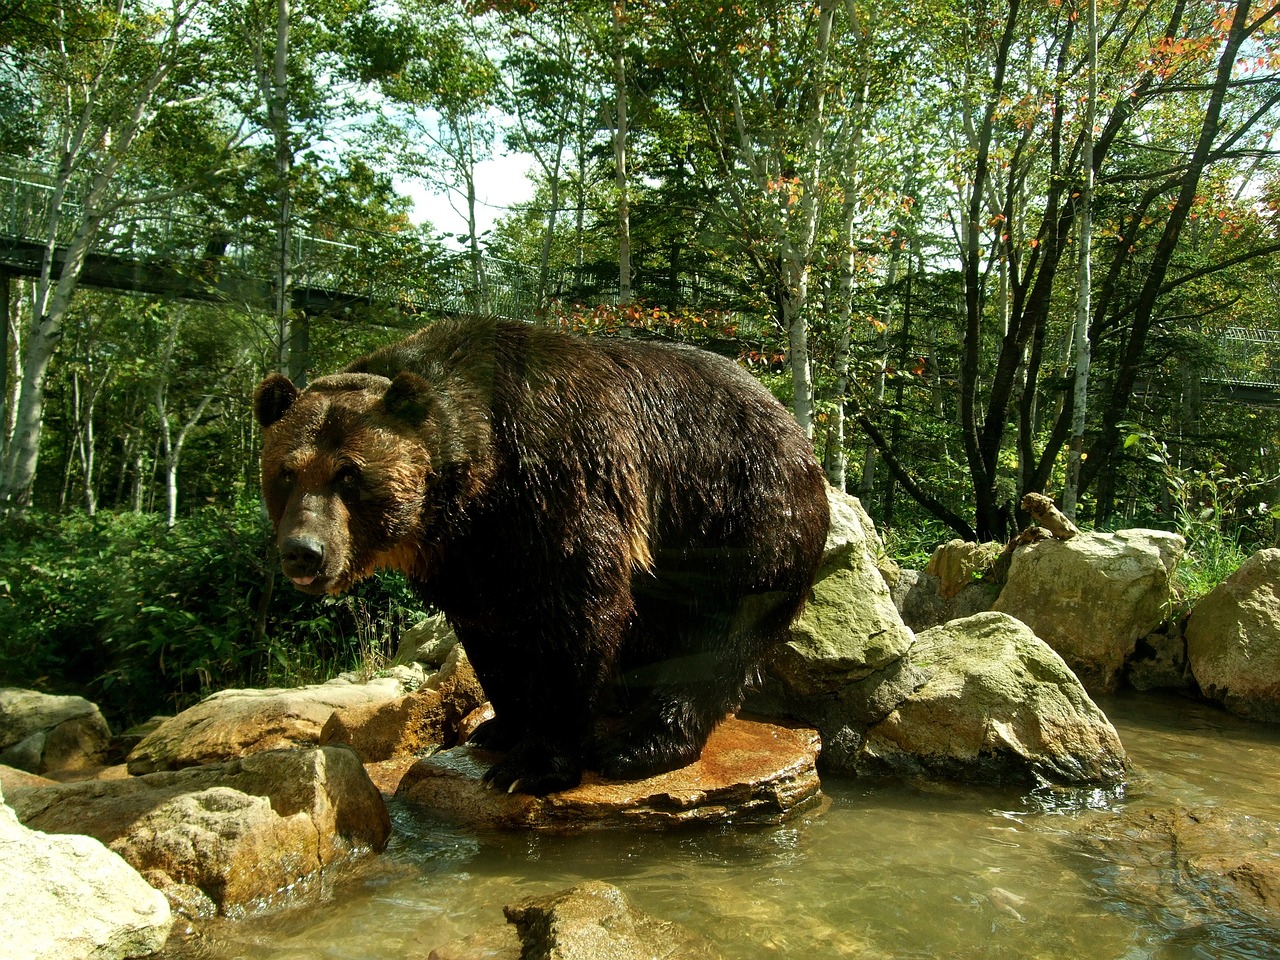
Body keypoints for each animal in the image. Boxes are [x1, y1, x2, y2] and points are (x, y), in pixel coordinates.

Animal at [254, 317, 829, 798]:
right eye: (286, 471)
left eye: (348, 473)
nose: (303, 552)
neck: (479, 479)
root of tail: (794, 426)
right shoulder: (467, 552)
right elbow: (489, 631)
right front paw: (500, 728)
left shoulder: (557, 482)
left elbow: (576, 612)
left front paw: (531, 765)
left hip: (741, 513)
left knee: (722, 631)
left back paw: (640, 745)